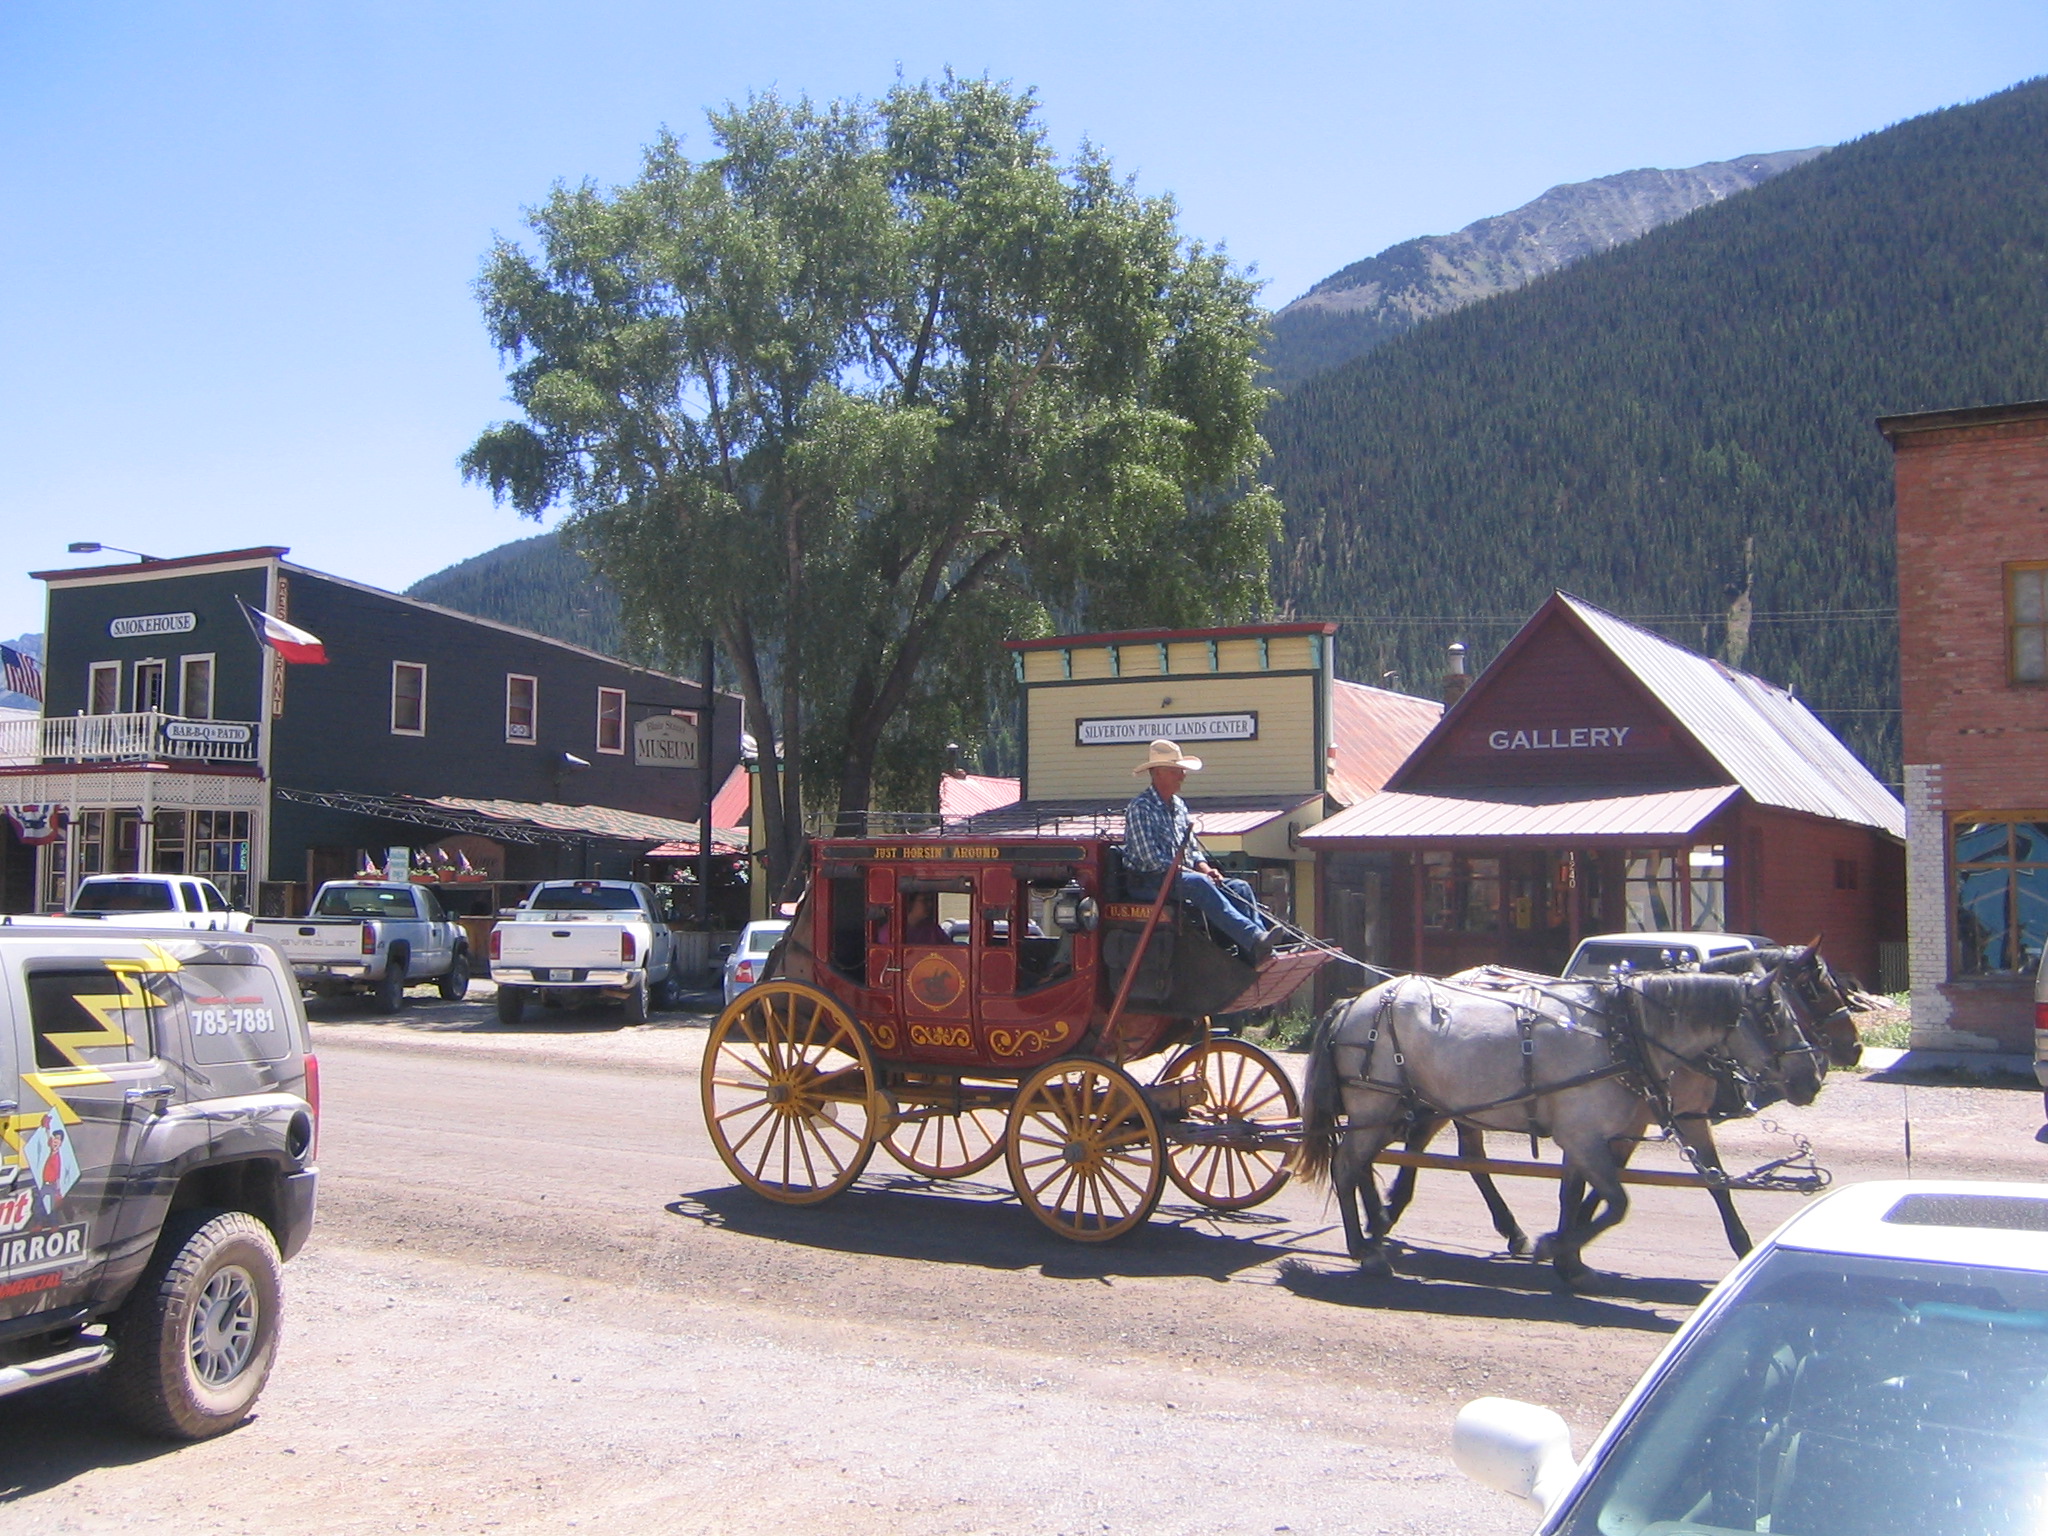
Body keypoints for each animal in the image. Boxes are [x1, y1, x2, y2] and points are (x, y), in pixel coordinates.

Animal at [1294, 967, 1805, 1287]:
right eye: (1775, 1018)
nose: (1809, 1076)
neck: (1620, 1031)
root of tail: (1352, 1004)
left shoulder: (1589, 1137)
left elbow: (1575, 1197)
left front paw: (1570, 1262)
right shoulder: (1584, 1135)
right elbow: (1617, 1203)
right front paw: (1552, 1247)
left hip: (1391, 1110)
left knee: (1367, 1164)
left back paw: (1378, 1226)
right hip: (1376, 1105)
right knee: (1347, 1167)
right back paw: (1366, 1249)